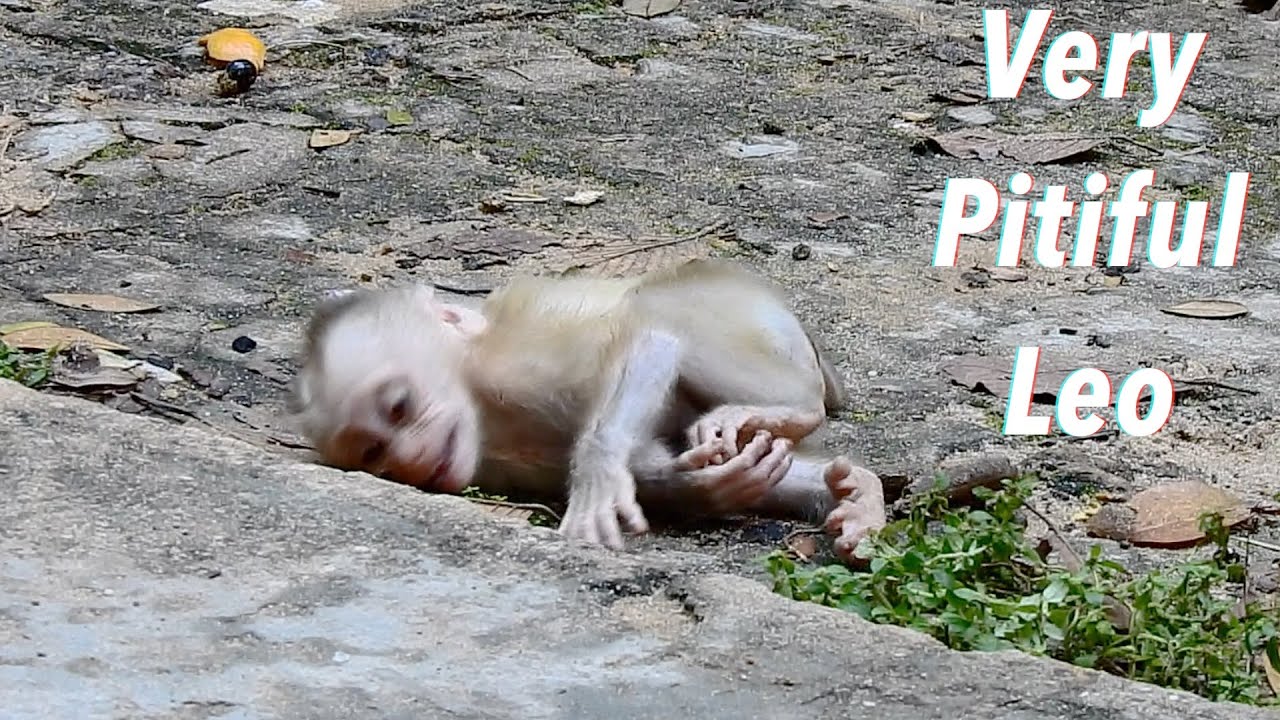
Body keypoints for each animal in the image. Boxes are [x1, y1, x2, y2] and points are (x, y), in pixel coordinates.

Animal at [290, 259, 886, 562]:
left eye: (399, 406)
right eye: (375, 455)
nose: (410, 460)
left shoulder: (517, 370)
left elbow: (652, 339)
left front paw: (598, 475)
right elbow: (648, 457)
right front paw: (708, 487)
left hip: (744, 316)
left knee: (657, 311)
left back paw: (794, 411)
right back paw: (856, 492)